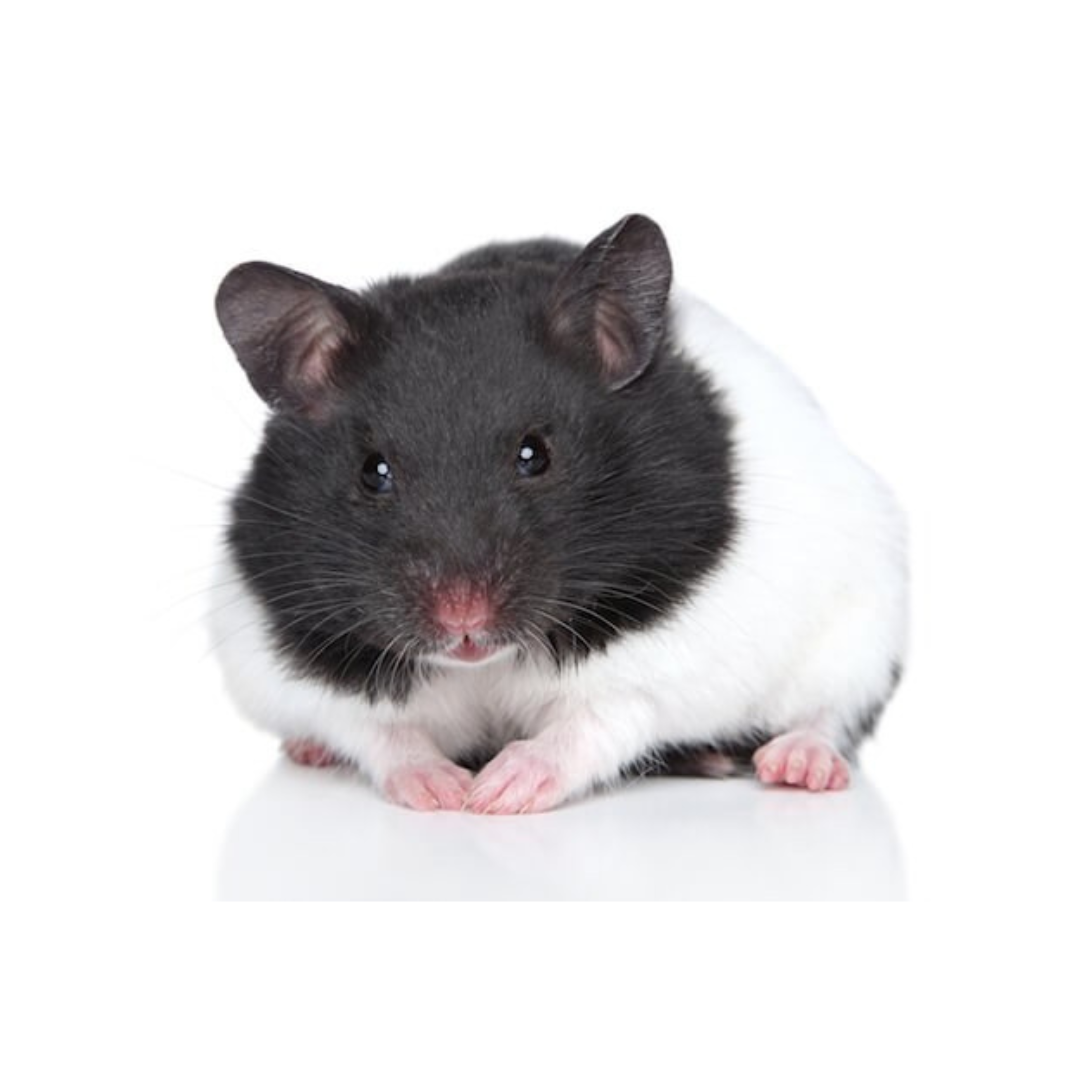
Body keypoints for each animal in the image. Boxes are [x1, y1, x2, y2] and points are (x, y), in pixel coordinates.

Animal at [209, 214, 907, 813]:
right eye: (373, 471)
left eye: (535, 454)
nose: (463, 620)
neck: (485, 666)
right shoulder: (289, 652)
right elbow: (378, 732)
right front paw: (444, 793)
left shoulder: (668, 662)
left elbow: (595, 722)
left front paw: (496, 794)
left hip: (864, 625)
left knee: (833, 713)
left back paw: (797, 767)